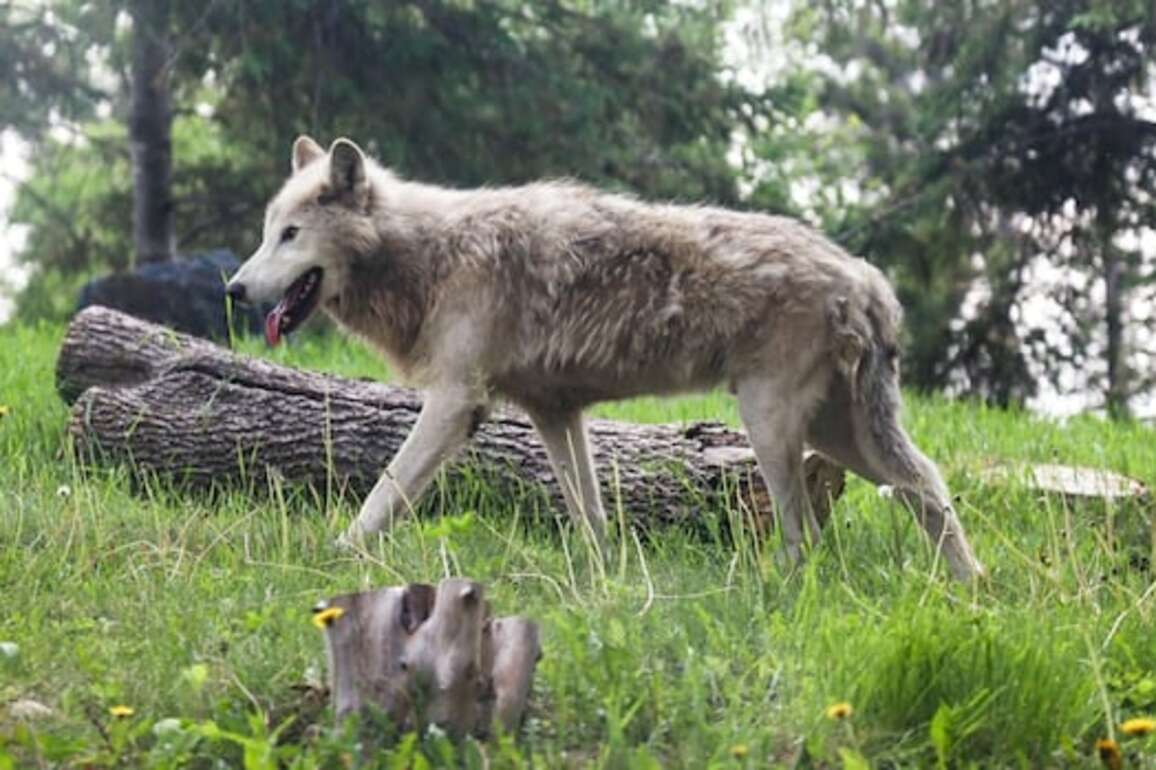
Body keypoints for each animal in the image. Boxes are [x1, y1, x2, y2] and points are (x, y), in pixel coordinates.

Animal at [226, 135, 985, 581]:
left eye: (290, 235)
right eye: (265, 233)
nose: (233, 289)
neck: (432, 257)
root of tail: (865, 274)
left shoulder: (456, 404)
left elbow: (385, 490)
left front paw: (336, 556)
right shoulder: (556, 416)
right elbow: (588, 515)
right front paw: (604, 583)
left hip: (773, 430)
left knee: (807, 533)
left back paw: (782, 591)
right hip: (837, 436)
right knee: (925, 484)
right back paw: (967, 586)